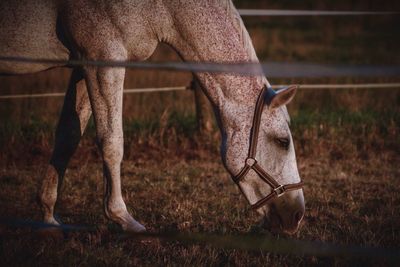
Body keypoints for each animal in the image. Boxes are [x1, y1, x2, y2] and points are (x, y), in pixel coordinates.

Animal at [0, 0, 304, 234]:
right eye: (283, 141)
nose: (297, 215)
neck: (163, 7)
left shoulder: (82, 63)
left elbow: (67, 137)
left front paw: (48, 216)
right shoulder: (103, 56)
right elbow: (111, 141)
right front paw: (122, 218)